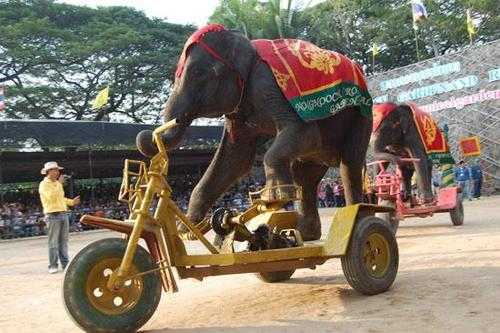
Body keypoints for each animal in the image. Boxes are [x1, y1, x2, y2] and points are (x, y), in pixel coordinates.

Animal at [137, 25, 372, 239]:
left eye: (199, 73)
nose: (148, 134)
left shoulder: (268, 85)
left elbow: (306, 133)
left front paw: (274, 196)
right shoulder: (238, 110)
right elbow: (235, 158)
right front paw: (186, 231)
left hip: (362, 117)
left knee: (349, 166)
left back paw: (354, 219)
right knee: (305, 176)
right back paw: (305, 234)